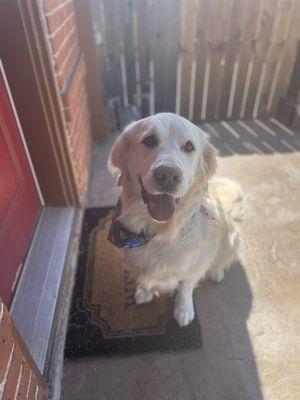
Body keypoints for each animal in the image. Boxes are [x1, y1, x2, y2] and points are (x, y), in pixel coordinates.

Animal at [106, 112, 243, 328]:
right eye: (149, 140)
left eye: (189, 147)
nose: (168, 175)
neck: (159, 233)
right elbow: (145, 279)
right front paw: (144, 291)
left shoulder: (194, 267)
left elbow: (185, 288)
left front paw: (184, 310)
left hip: (232, 237)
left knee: (222, 258)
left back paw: (216, 271)